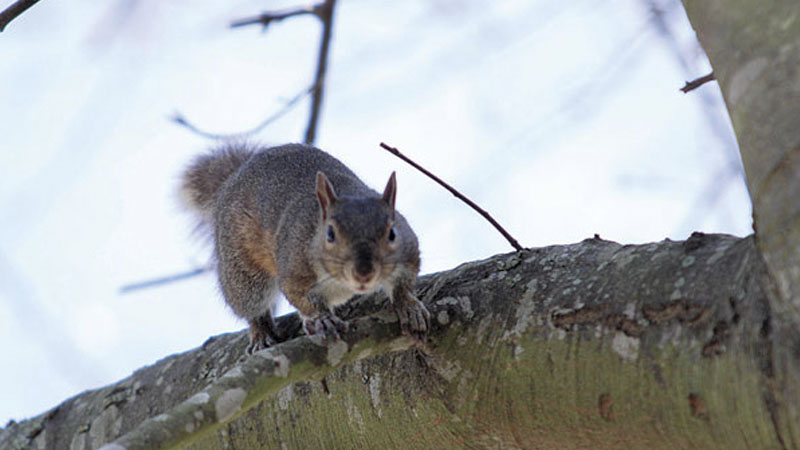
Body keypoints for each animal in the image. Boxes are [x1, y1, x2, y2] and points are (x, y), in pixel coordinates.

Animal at [179, 143, 430, 353]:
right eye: (330, 234)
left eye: (392, 232)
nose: (364, 273)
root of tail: (232, 177)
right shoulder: (295, 268)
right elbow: (298, 296)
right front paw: (322, 319)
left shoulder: (409, 252)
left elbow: (405, 281)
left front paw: (407, 305)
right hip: (241, 270)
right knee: (251, 304)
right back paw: (261, 332)